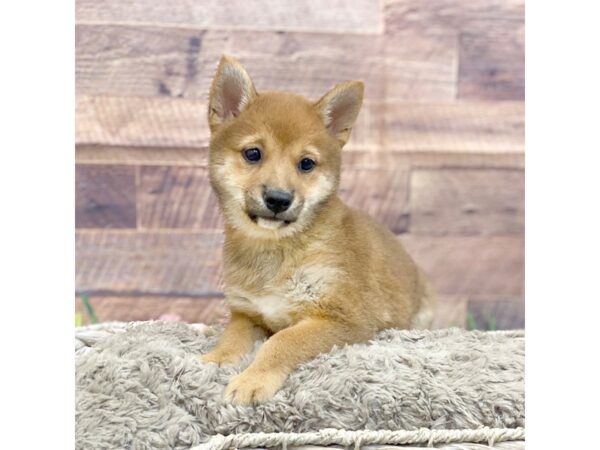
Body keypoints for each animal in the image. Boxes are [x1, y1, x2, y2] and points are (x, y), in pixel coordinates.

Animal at [202, 55, 436, 404]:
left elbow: (283, 341)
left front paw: (253, 379)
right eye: (253, 154)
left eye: (307, 164)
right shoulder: (247, 313)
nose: (278, 199)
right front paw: (216, 359)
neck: (277, 252)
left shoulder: (344, 318)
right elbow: (232, 337)